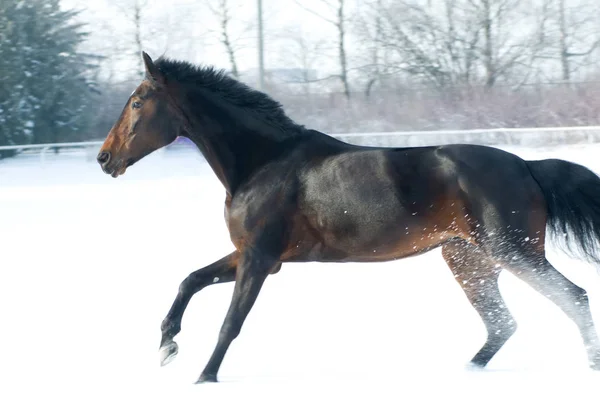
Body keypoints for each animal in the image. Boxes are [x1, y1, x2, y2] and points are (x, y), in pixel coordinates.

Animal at [96, 52, 600, 382]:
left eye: (137, 101)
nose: (105, 159)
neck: (262, 163)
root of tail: (527, 166)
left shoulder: (260, 259)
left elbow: (230, 323)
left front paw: (203, 378)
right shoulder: (254, 255)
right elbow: (191, 280)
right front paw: (167, 345)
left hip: (512, 250)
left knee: (572, 297)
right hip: (468, 259)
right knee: (501, 323)